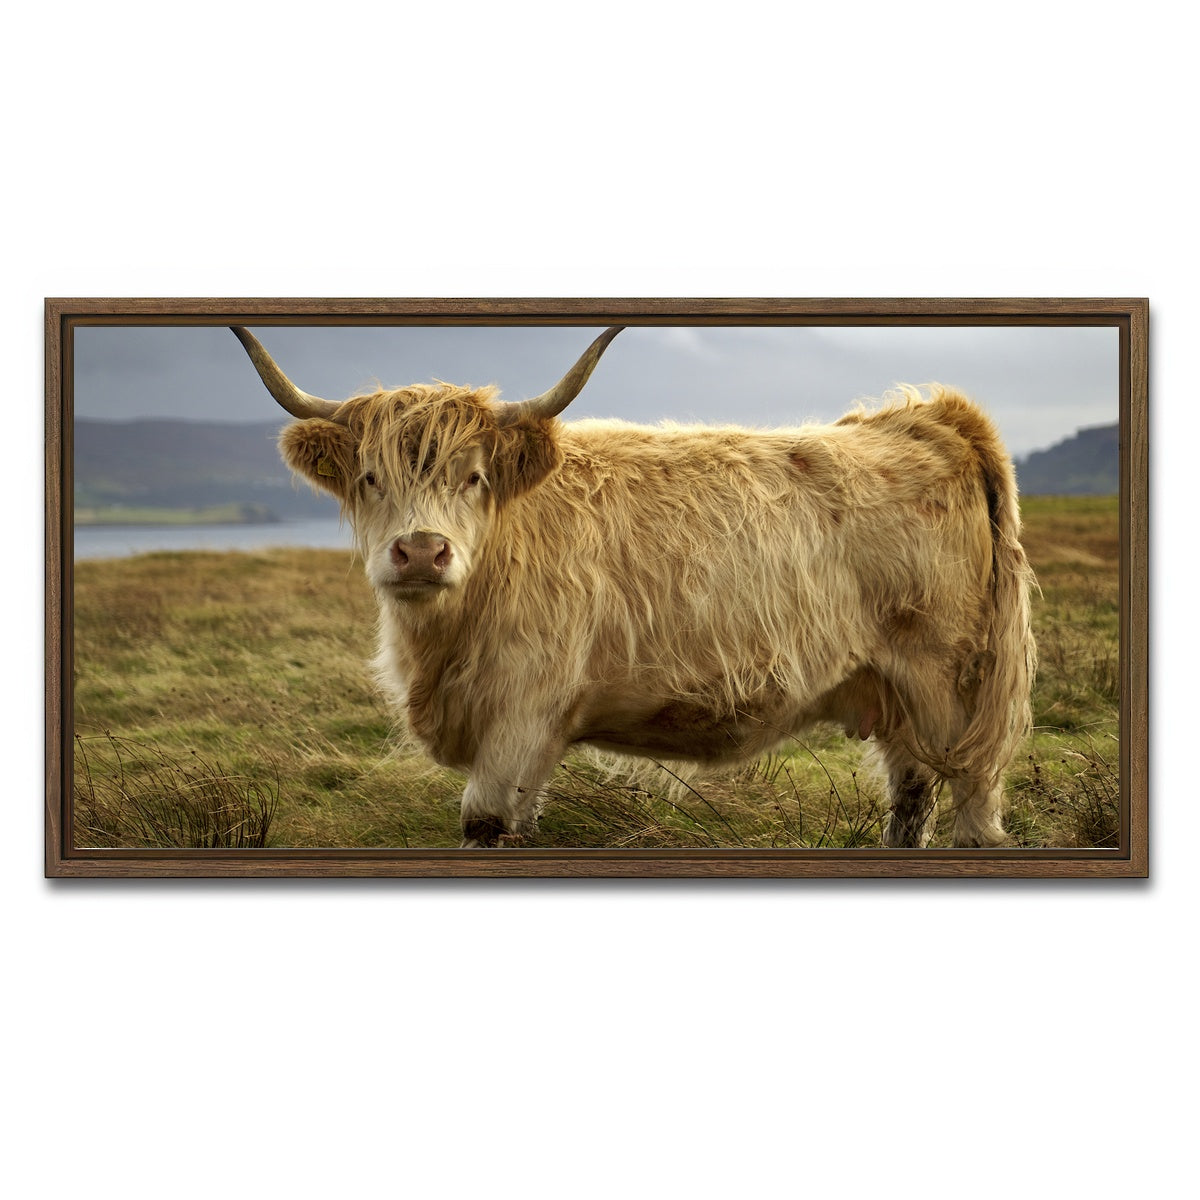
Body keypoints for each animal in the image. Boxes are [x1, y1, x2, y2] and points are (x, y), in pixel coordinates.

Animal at [232, 325, 1036, 849]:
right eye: (370, 478)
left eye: (475, 477)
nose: (423, 553)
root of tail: (927, 416)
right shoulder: (535, 737)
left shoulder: (519, 716)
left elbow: (484, 826)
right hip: (895, 691)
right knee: (911, 796)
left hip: (951, 686)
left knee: (972, 800)